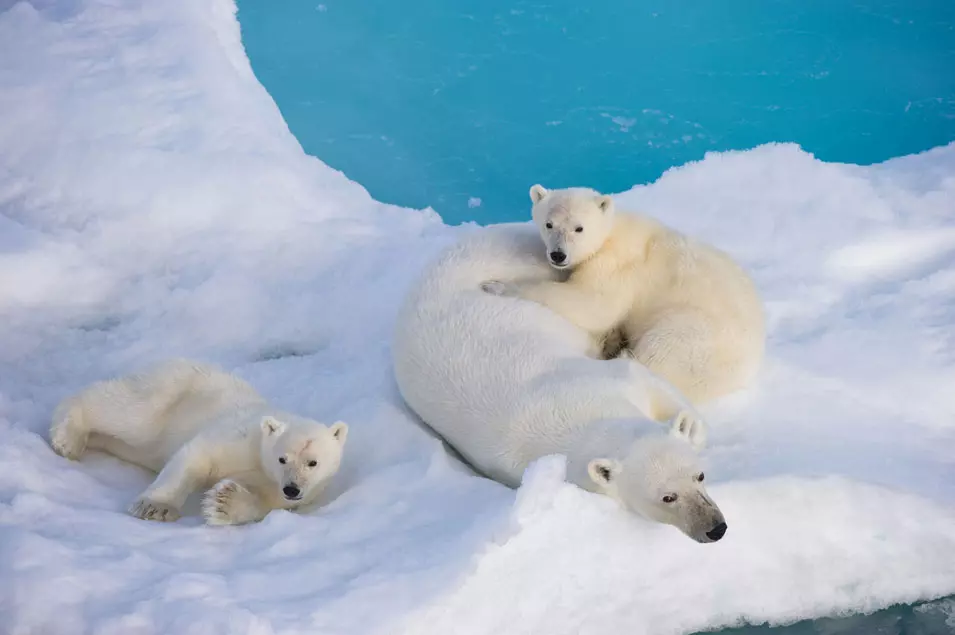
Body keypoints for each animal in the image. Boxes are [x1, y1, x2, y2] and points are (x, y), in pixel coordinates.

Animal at [48, 358, 348, 528]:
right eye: (282, 458)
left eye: (313, 462)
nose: (292, 488)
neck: (260, 460)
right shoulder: (238, 435)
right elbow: (197, 455)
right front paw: (155, 507)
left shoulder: (275, 490)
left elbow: (260, 502)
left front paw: (223, 503)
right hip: (169, 394)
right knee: (127, 413)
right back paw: (68, 436)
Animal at [392, 224, 728, 540]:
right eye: (667, 497)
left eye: (699, 476)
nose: (716, 528)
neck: (579, 412)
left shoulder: (610, 379)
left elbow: (648, 381)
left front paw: (689, 426)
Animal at [482, 186, 764, 410]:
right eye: (549, 224)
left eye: (579, 228)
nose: (558, 255)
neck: (611, 231)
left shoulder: (618, 264)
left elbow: (594, 304)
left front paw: (497, 286)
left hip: (693, 333)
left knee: (659, 352)